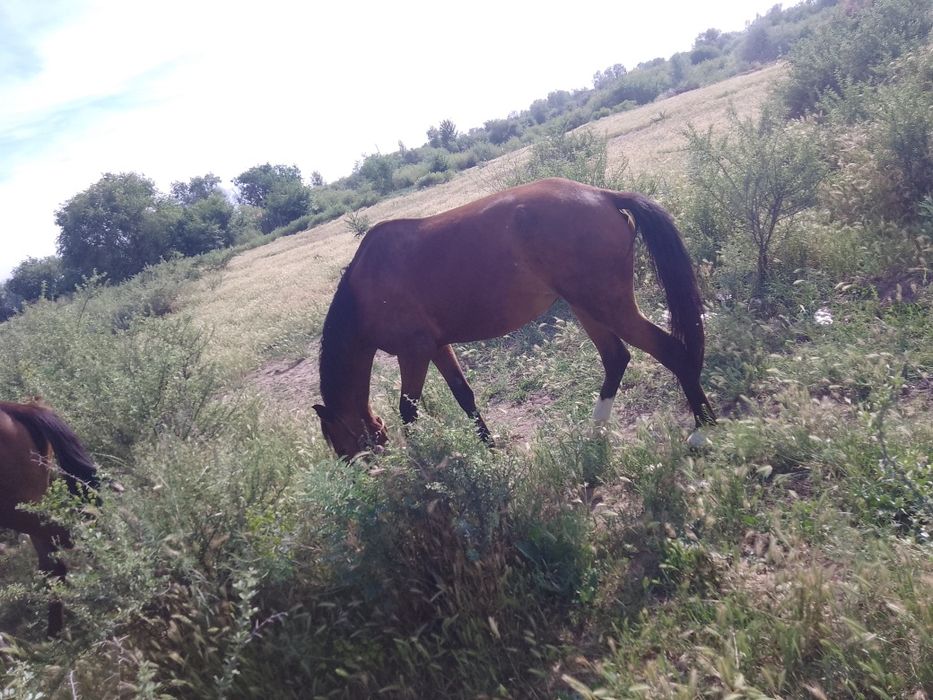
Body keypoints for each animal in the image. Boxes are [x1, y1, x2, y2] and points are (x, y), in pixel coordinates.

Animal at [314, 177, 716, 459]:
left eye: (344, 448)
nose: (372, 476)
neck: (365, 287)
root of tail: (602, 194)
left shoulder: (413, 352)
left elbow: (408, 412)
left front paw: (420, 466)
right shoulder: (438, 347)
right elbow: (465, 396)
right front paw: (490, 448)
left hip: (608, 306)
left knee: (671, 352)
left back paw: (702, 431)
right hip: (586, 307)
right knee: (617, 358)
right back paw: (596, 429)